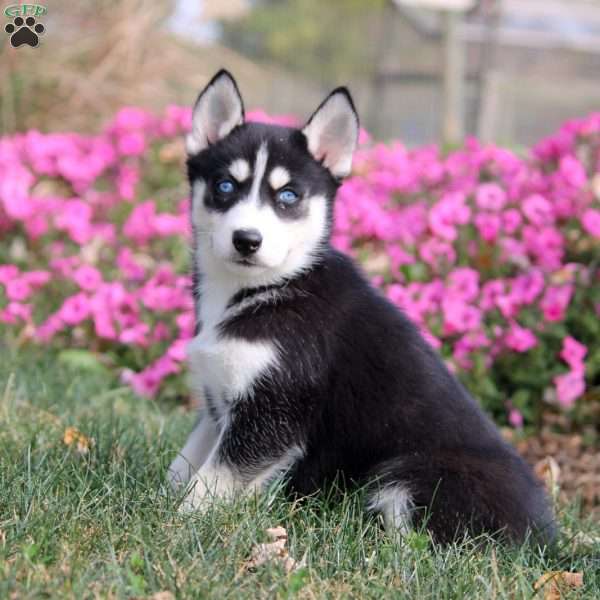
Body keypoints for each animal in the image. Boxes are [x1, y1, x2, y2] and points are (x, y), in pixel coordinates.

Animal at [166, 69, 556, 544]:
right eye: (224, 186)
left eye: (289, 196)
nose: (247, 240)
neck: (266, 288)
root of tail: (546, 538)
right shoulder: (220, 404)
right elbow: (186, 463)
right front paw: (160, 500)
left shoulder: (272, 412)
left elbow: (213, 478)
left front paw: (178, 523)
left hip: (409, 475)